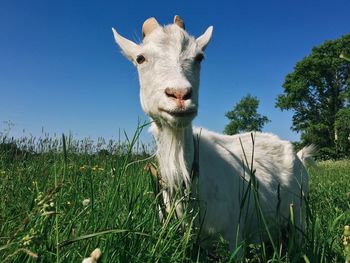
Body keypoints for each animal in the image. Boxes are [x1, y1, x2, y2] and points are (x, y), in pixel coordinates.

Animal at [111, 16, 312, 252]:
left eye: (199, 57)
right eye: (140, 58)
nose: (180, 94)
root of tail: (297, 154)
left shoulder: (234, 236)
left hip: (299, 213)